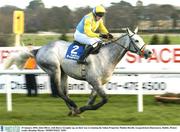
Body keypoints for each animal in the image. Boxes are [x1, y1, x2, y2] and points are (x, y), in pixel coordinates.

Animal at [3, 27, 152, 115]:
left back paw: (72, 109)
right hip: (54, 69)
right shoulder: (94, 81)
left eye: (141, 39)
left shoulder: (99, 83)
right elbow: (104, 99)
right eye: (136, 40)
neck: (106, 56)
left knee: (64, 92)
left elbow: (91, 100)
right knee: (58, 91)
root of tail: (39, 49)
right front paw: (80, 109)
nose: (149, 52)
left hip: (63, 72)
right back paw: (74, 106)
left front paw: (81, 109)